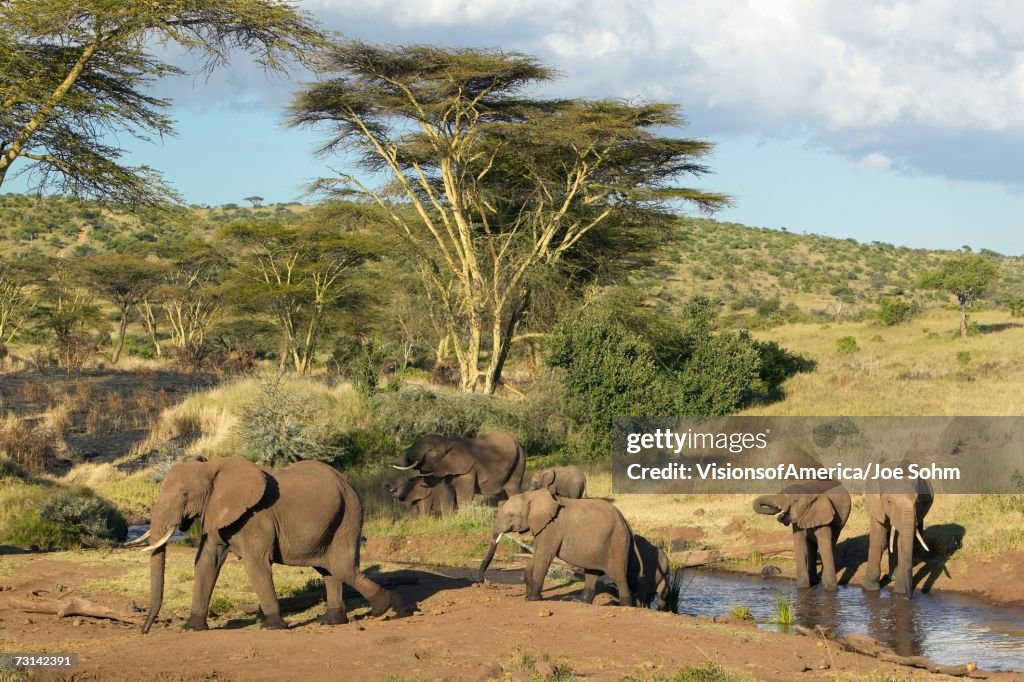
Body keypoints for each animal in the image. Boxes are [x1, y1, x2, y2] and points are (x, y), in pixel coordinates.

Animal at [129, 454, 399, 630]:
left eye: (185, 494)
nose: (144, 629)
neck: (212, 466)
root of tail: (348, 482)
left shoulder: (254, 518)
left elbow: (255, 564)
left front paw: (274, 626)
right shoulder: (216, 515)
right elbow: (206, 562)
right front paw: (192, 627)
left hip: (349, 514)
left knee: (341, 567)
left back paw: (383, 609)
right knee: (329, 569)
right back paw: (331, 620)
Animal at [389, 430, 524, 503]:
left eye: (429, 450)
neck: (448, 442)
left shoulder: (467, 471)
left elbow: (464, 496)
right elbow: (446, 493)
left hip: (519, 461)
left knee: (512, 489)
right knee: (502, 493)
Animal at [477, 485, 630, 602]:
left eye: (511, 515)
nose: (486, 582)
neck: (532, 495)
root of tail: (624, 521)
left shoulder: (552, 527)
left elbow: (544, 556)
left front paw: (533, 599)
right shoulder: (542, 528)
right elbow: (536, 555)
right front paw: (528, 596)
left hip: (616, 542)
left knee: (620, 578)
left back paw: (626, 605)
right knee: (592, 573)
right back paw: (580, 601)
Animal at [864, 462, 937, 593]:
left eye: (917, 501)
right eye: (888, 501)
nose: (910, 595)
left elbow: (902, 543)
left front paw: (900, 591)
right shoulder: (876, 507)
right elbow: (879, 541)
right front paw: (870, 588)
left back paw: (894, 577)